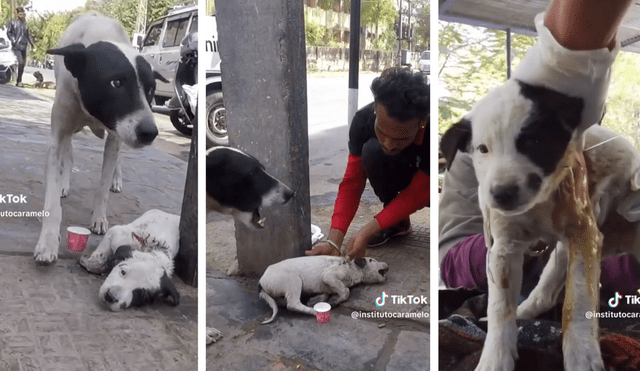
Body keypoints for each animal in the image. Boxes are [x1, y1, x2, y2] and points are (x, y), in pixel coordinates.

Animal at [34, 11, 168, 266]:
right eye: (116, 83)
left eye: (150, 89)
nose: (149, 132)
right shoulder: (59, 132)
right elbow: (52, 198)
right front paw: (47, 242)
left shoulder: (116, 136)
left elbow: (103, 185)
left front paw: (99, 217)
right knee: (69, 156)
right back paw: (65, 182)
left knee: (116, 163)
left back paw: (117, 180)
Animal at [442, 79, 640, 371]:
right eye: (483, 149)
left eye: (532, 141)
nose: (502, 194)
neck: (538, 205)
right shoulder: (503, 247)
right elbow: (500, 306)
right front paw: (495, 358)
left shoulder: (584, 232)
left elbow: (578, 302)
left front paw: (582, 355)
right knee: (544, 293)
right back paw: (523, 313)